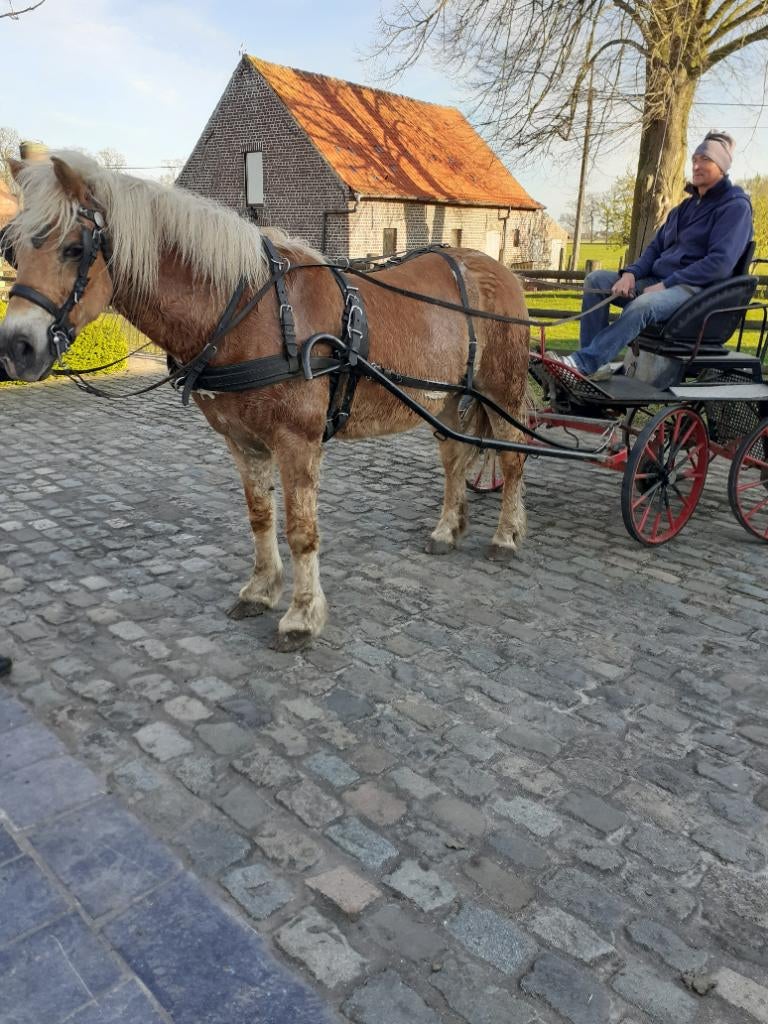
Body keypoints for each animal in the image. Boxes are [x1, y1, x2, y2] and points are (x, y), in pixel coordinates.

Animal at [0, 151, 530, 650]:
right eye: (15, 251)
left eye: (73, 249)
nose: (16, 347)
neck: (250, 311)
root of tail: (497, 270)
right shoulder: (243, 441)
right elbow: (260, 517)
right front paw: (260, 590)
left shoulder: (297, 442)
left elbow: (300, 530)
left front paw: (301, 616)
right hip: (448, 399)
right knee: (456, 457)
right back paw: (447, 528)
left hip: (500, 391)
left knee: (512, 458)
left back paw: (506, 536)